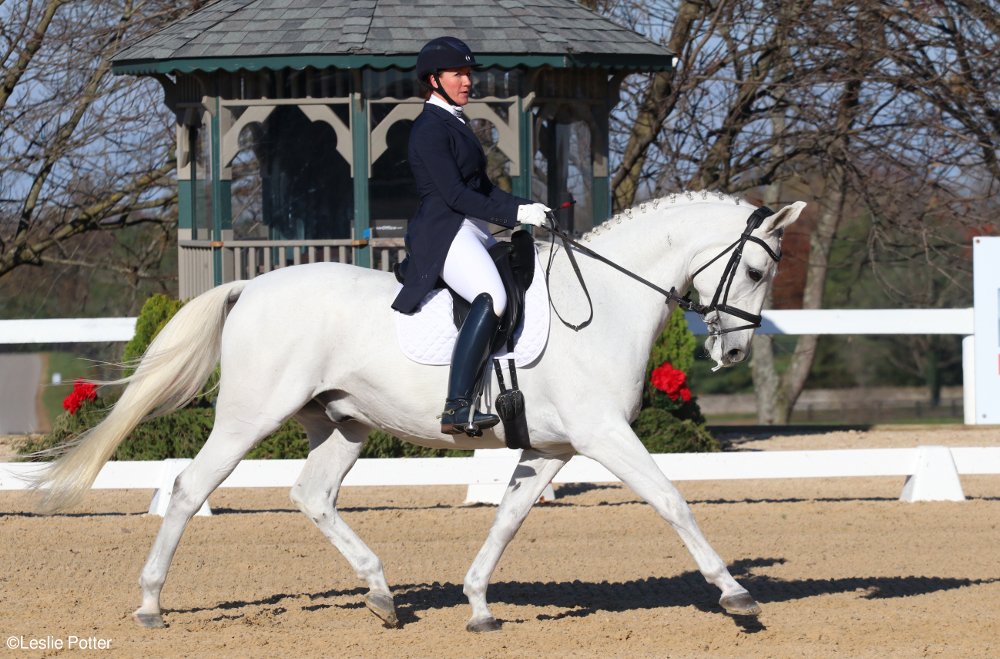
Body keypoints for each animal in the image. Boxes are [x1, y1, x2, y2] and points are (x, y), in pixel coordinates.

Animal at [35, 192, 808, 636]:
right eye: (758, 271)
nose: (733, 350)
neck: (602, 304)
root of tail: (250, 284)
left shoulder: (553, 448)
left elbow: (508, 517)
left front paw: (479, 605)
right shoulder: (602, 435)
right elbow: (673, 500)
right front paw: (736, 594)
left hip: (344, 424)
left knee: (311, 493)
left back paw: (382, 595)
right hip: (249, 418)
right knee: (190, 490)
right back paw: (151, 604)